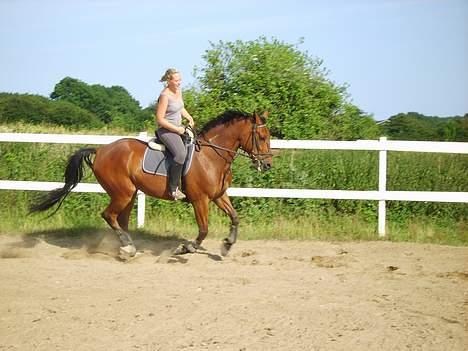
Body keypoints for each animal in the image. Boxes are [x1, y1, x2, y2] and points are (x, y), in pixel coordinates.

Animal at [31, 111, 272, 260]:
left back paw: (128, 248)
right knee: (109, 216)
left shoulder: (219, 195)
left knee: (120, 220)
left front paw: (227, 245)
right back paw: (127, 247)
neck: (212, 156)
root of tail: (101, 150)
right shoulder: (200, 200)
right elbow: (203, 229)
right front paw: (185, 248)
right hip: (123, 193)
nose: (268, 164)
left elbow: (235, 217)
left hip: (129, 194)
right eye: (261, 136)